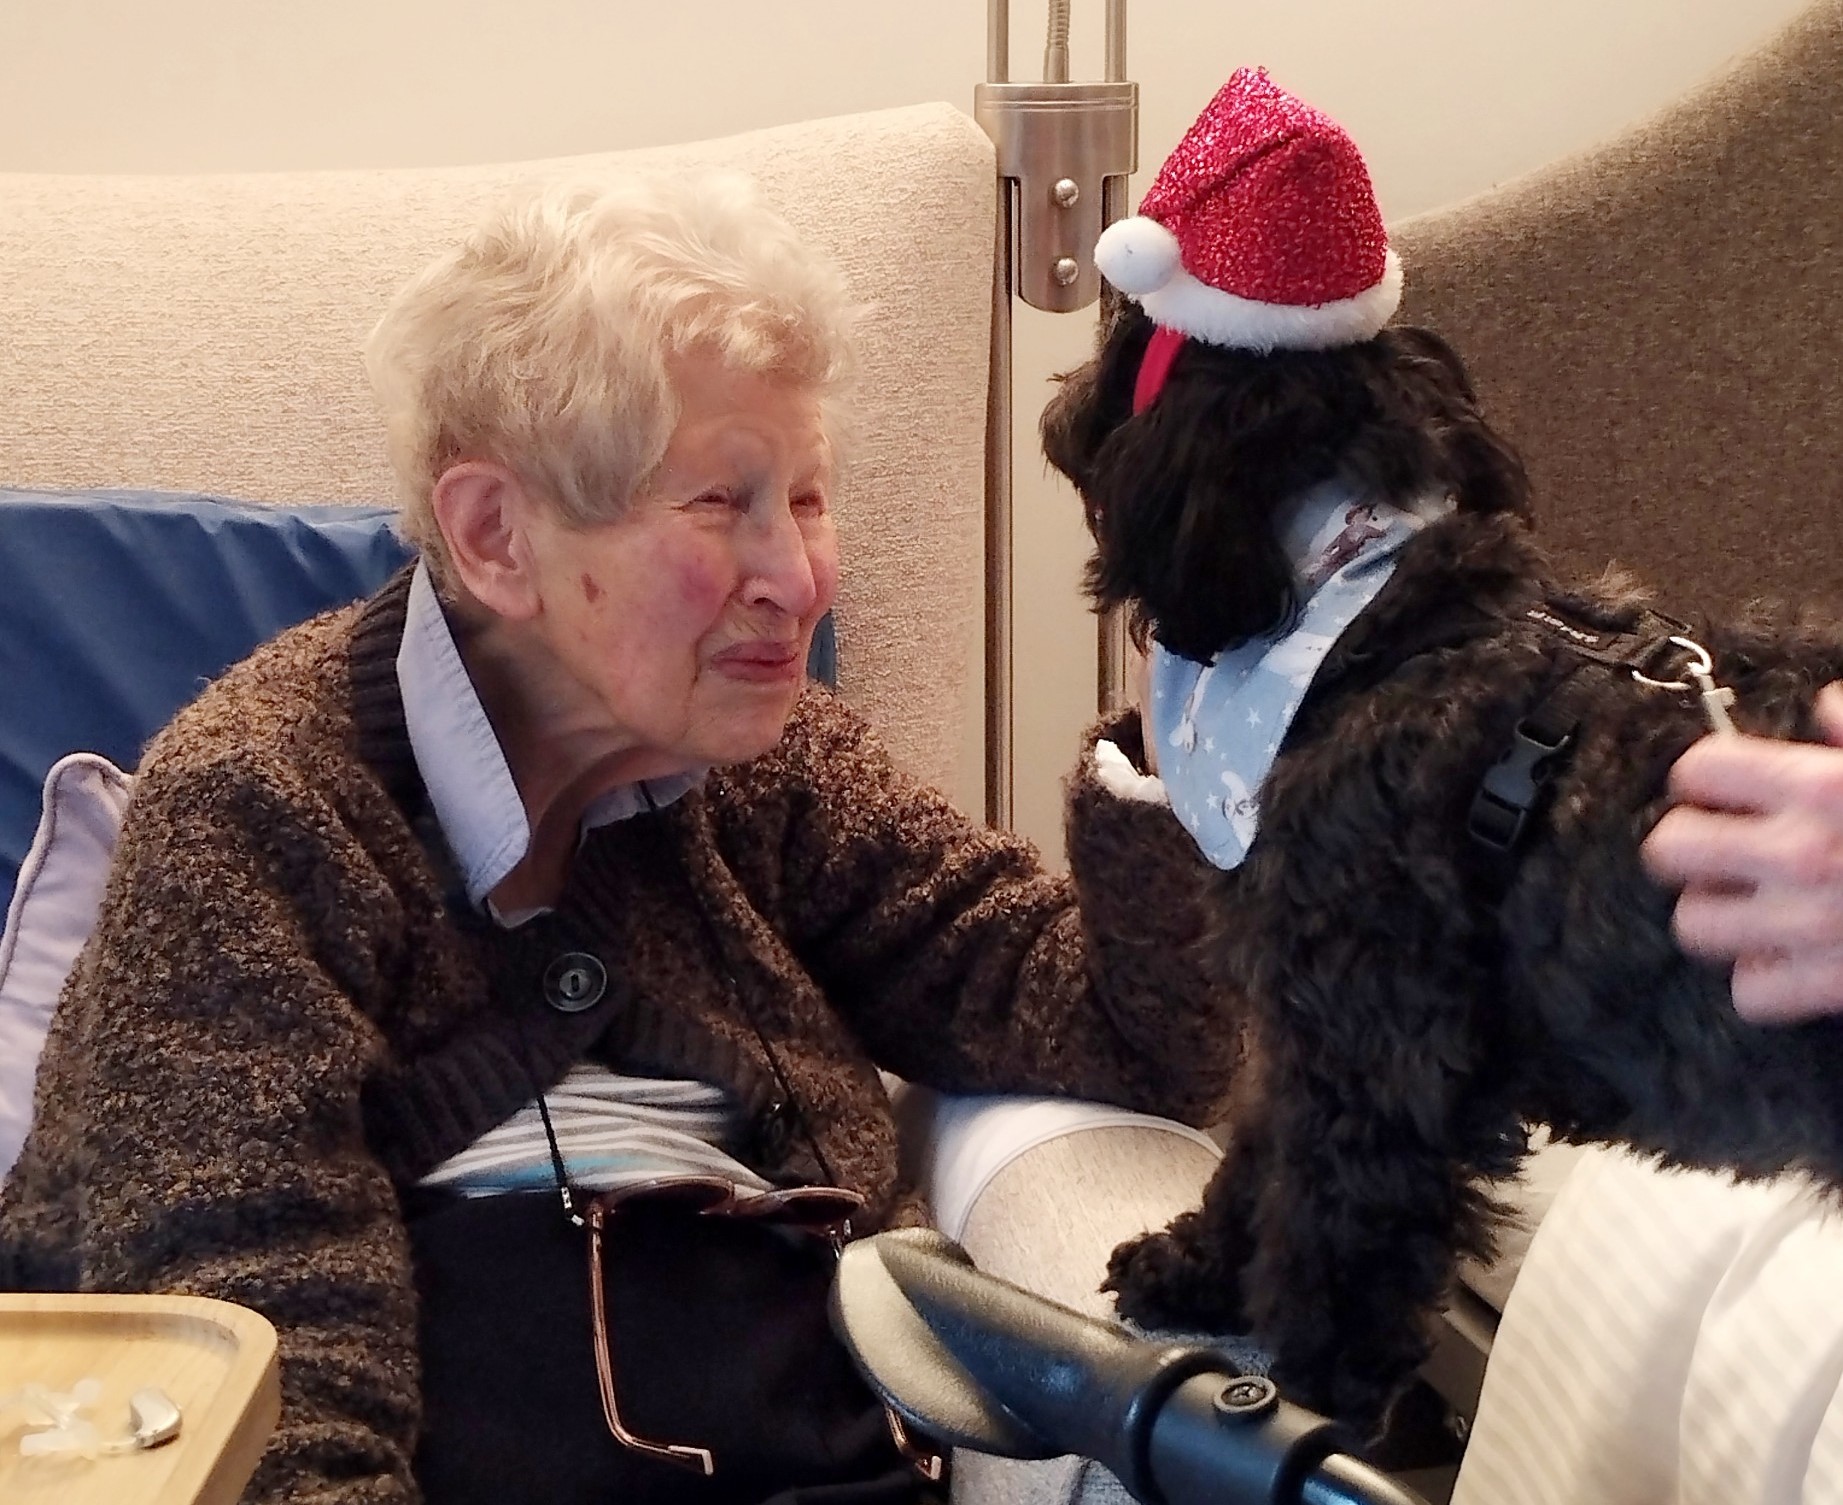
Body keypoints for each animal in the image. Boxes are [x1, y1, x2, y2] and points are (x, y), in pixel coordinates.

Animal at [1046, 292, 1843, 1429]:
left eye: (1129, 335)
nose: (1056, 412)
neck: (1363, 618)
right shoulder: (1301, 1036)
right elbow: (1255, 1156)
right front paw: (1194, 1269)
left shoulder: (1373, 1067)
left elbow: (1336, 1249)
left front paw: (1307, 1406)